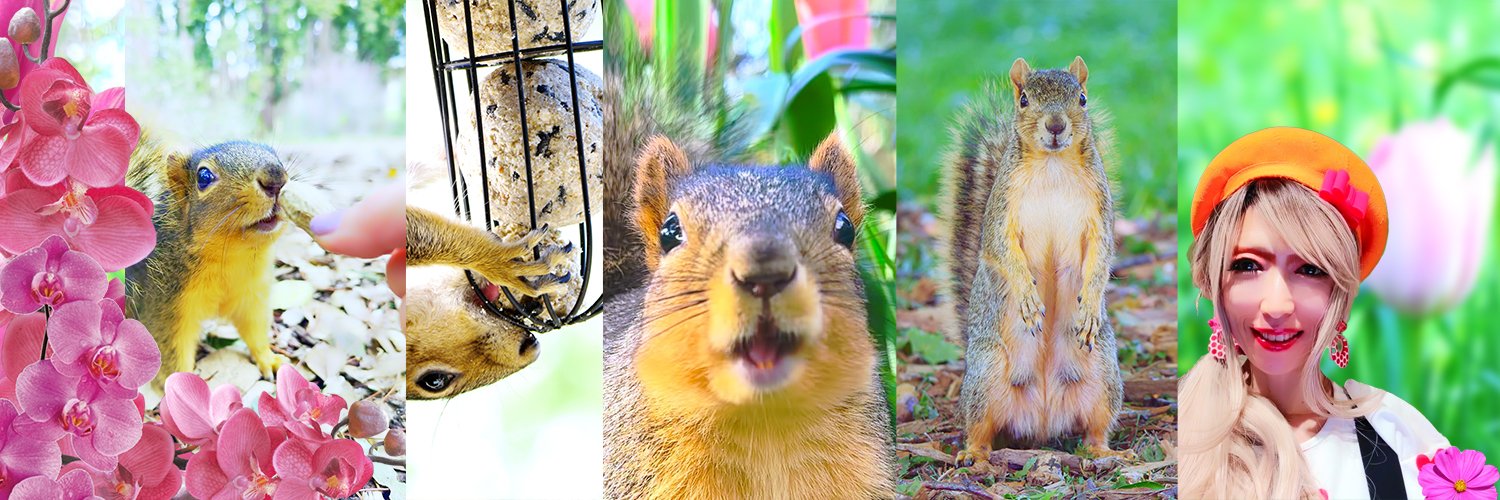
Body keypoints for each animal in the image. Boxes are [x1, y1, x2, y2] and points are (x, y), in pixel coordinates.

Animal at [124, 137, 320, 384]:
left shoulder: (251, 296)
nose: (276, 177)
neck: (231, 258)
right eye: (204, 176)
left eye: (278, 157)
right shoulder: (162, 307)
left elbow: (254, 329)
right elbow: (170, 355)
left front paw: (269, 359)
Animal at [944, 56, 1124, 464]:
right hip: (985, 377)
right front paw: (1027, 297)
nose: (1055, 125)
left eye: (1082, 98)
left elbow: (1102, 256)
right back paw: (973, 455)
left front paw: (1090, 306)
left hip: (1104, 377)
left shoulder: (1100, 214)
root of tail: (1042, 419)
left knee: (1096, 429)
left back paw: (1108, 453)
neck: (1052, 165)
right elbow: (1001, 250)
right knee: (979, 429)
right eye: (1024, 99)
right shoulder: (1000, 213)